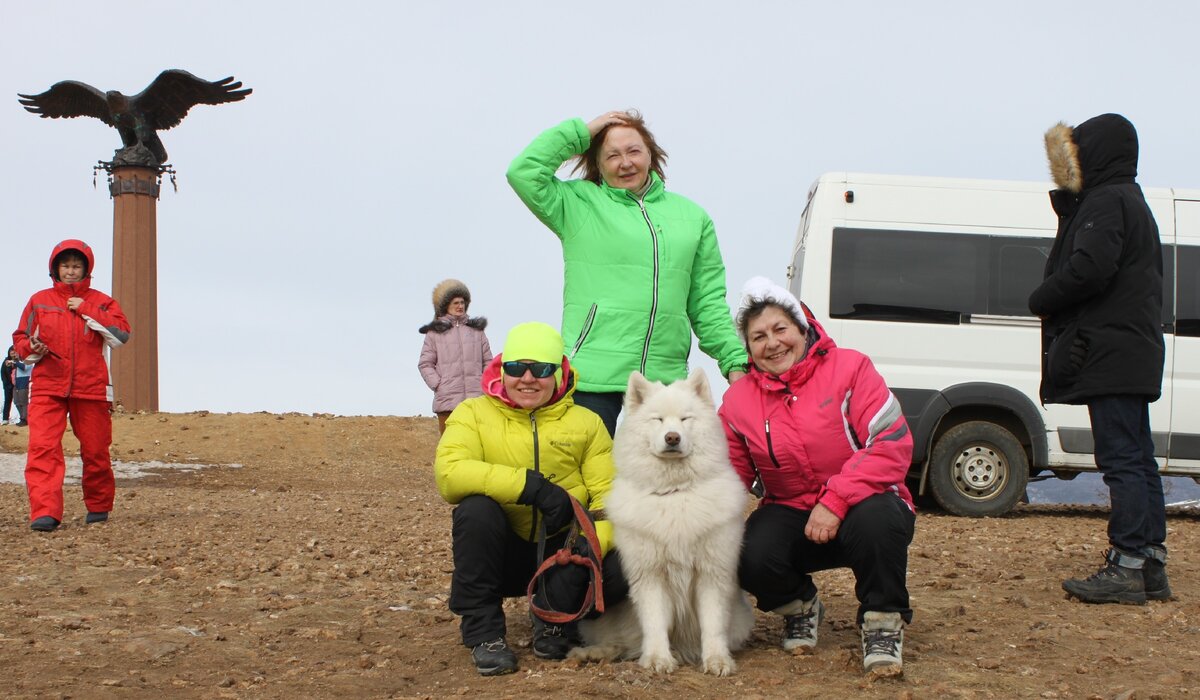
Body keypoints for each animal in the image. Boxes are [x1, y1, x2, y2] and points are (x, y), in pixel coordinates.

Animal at [568, 369, 748, 677]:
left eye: (685, 419)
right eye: (658, 420)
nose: (672, 437)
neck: (673, 493)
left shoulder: (711, 573)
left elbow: (712, 624)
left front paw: (717, 660)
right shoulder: (650, 574)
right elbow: (654, 624)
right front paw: (656, 659)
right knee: (621, 643)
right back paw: (592, 653)